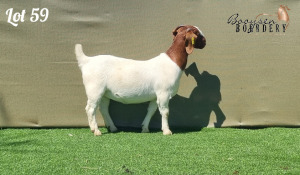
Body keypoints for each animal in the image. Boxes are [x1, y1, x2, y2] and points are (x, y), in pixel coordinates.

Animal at [75, 25, 206, 136]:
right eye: (197, 33)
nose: (205, 42)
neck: (172, 62)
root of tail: (86, 61)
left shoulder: (155, 95)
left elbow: (151, 110)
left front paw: (145, 128)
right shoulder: (163, 92)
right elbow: (165, 111)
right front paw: (167, 131)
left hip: (104, 93)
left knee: (103, 108)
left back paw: (112, 128)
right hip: (95, 89)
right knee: (90, 109)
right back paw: (96, 131)